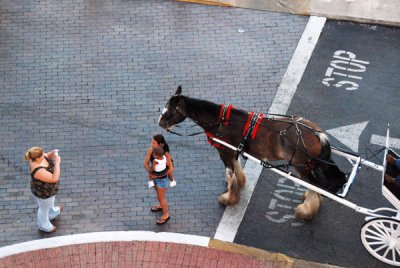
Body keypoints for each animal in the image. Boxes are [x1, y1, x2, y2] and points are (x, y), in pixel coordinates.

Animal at [158, 87, 346, 221]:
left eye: (170, 111)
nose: (160, 123)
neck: (221, 121)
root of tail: (318, 134)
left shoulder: (224, 151)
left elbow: (230, 172)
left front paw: (228, 197)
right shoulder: (234, 150)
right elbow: (236, 169)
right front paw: (239, 183)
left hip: (301, 167)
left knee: (313, 186)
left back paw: (306, 210)